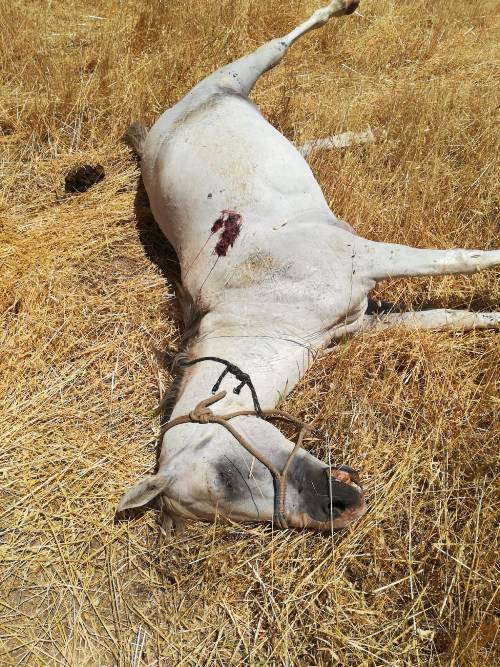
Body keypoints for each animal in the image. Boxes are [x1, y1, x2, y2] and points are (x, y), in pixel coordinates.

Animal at [118, 0, 500, 532]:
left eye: (227, 475)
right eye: (231, 511)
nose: (341, 507)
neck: (268, 308)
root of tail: (160, 128)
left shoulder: (369, 257)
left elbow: (465, 259)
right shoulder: (359, 320)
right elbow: (448, 317)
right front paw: (493, 320)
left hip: (238, 72)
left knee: (288, 37)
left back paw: (343, 9)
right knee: (305, 143)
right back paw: (362, 134)